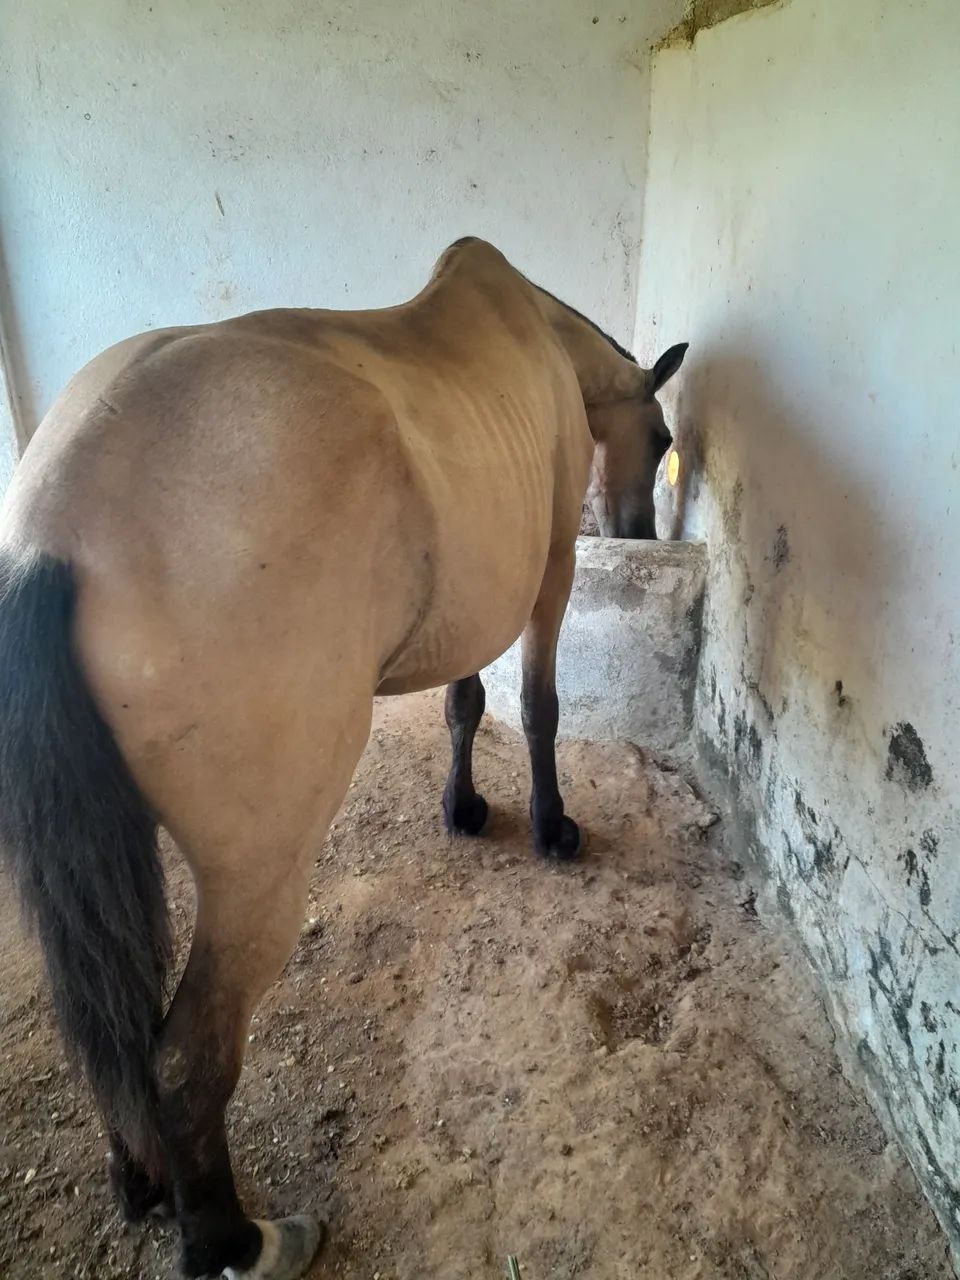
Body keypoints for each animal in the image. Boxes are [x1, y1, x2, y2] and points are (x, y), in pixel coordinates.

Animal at [0, 237, 686, 1279]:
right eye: (658, 436)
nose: (642, 534)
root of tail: (53, 530)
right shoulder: (549, 575)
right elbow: (535, 708)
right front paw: (551, 827)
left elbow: (464, 702)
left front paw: (464, 810)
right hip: (259, 877)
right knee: (186, 1063)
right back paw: (239, 1241)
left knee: (117, 1031)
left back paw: (145, 1180)